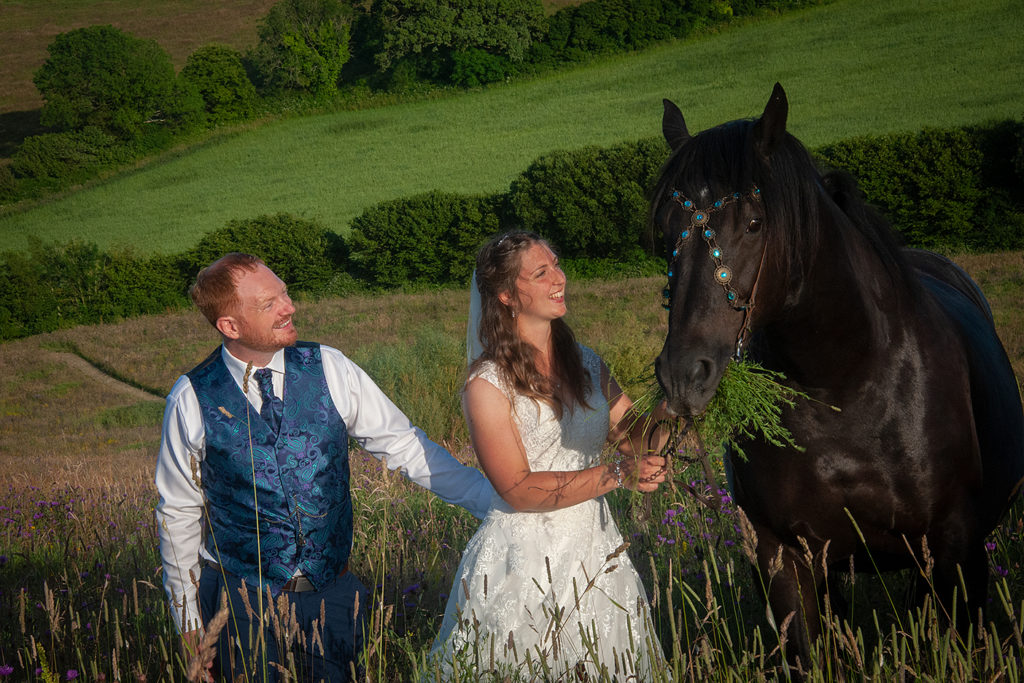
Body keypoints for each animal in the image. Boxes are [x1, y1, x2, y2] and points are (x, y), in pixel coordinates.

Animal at [651, 83, 1024, 667]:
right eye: (665, 229)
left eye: (754, 223)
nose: (683, 375)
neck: (845, 384)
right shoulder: (784, 556)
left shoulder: (956, 548)